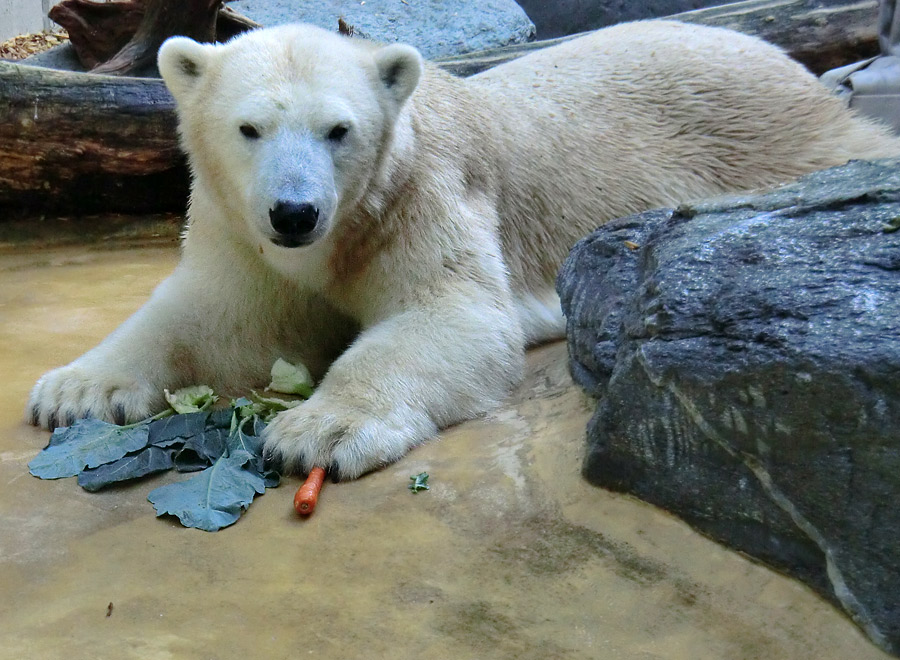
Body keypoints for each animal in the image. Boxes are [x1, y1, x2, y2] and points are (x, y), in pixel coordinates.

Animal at [28, 19, 900, 474]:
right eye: (250, 128)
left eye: (338, 130)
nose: (295, 212)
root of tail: (785, 58)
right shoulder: (237, 229)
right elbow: (214, 319)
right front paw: (73, 390)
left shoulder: (421, 196)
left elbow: (449, 317)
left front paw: (317, 430)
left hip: (772, 136)